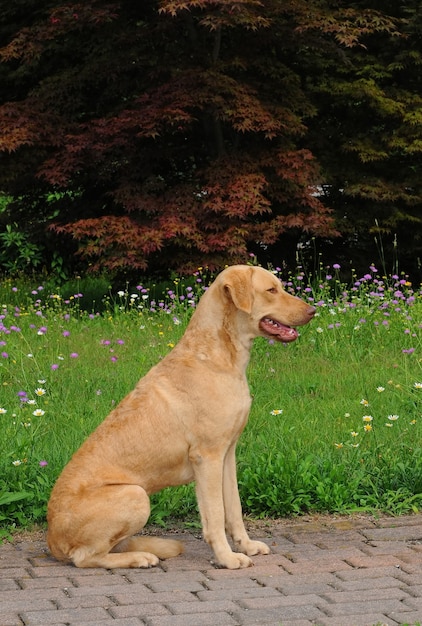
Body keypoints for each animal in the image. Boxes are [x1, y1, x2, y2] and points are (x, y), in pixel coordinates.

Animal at [47, 264, 314, 564]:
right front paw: (227, 558)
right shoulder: (207, 457)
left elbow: (234, 509)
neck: (219, 355)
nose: (313, 310)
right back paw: (141, 558)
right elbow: (215, 515)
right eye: (271, 290)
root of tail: (52, 540)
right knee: (85, 557)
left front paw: (245, 546)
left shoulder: (227, 454)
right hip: (135, 495)